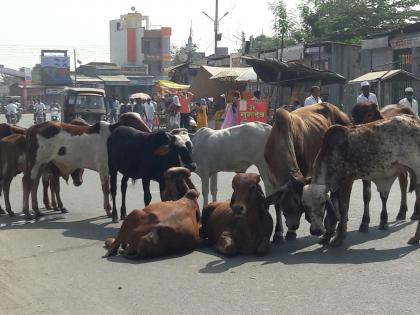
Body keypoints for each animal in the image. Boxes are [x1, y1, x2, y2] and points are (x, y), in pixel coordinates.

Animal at [264, 103, 352, 242]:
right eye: (293, 201)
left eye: (300, 203)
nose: (294, 225)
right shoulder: (271, 177)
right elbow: (276, 204)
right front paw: (278, 233)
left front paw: (291, 233)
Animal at [304, 115, 420, 247]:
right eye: (305, 207)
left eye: (322, 203)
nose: (316, 231)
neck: (332, 153)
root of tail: (415, 119)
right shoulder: (335, 186)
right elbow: (334, 209)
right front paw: (327, 236)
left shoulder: (347, 180)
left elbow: (343, 208)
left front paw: (339, 237)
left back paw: (415, 237)